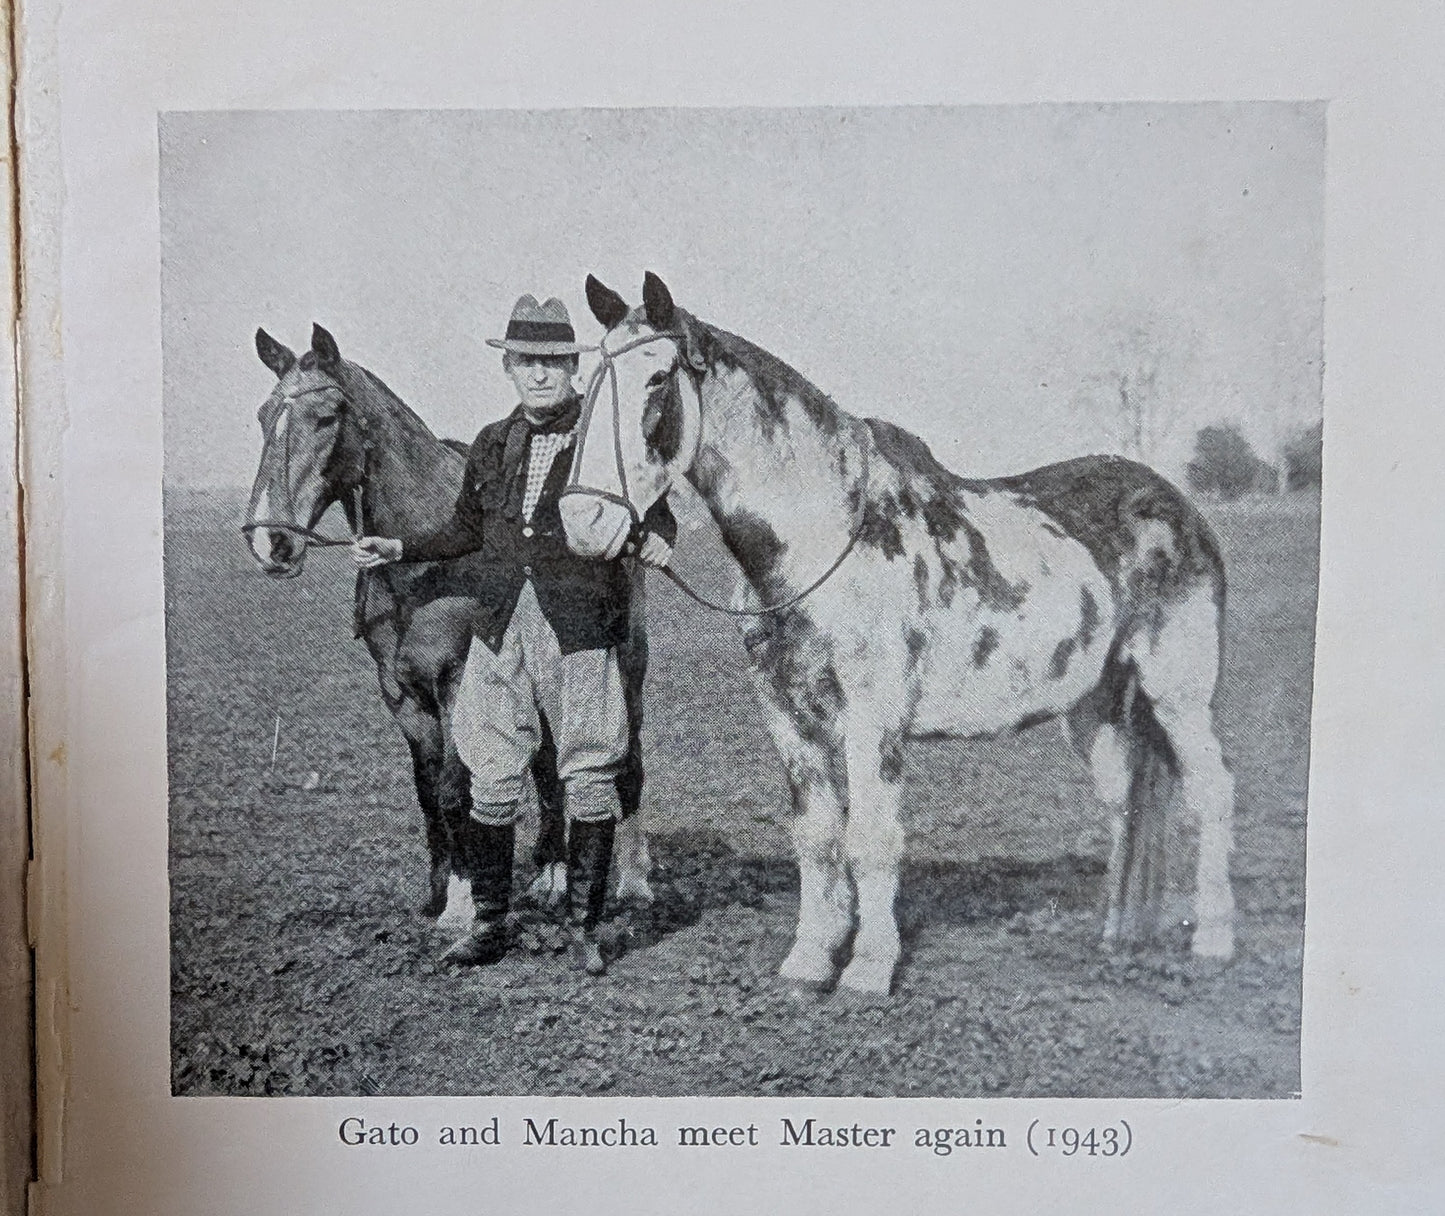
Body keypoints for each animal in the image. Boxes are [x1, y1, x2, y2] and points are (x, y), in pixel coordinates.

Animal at [558, 272, 1236, 997]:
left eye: (656, 379)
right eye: (587, 385)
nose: (583, 520)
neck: (824, 538)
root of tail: (1180, 509)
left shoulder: (872, 717)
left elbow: (872, 837)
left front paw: (868, 967)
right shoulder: (788, 718)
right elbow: (818, 837)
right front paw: (808, 961)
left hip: (1177, 695)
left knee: (1211, 791)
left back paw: (1213, 941)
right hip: (1094, 707)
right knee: (1124, 803)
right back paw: (1115, 936)